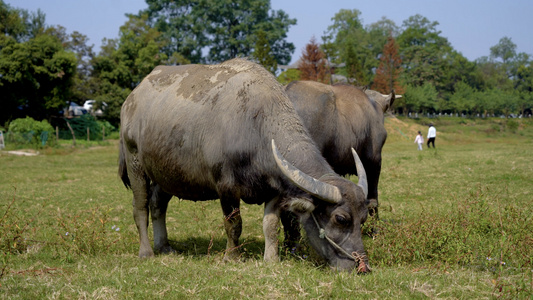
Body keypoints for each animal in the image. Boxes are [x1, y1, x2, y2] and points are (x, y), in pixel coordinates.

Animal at [118, 58, 370, 272]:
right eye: (340, 219)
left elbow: (271, 225)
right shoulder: (225, 187)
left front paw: (271, 258)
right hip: (135, 163)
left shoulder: (275, 190)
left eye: (364, 218)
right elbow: (234, 224)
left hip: (167, 174)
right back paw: (147, 251)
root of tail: (131, 100)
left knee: (157, 204)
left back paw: (164, 246)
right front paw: (232, 256)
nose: (362, 266)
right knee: (140, 208)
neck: (256, 124)